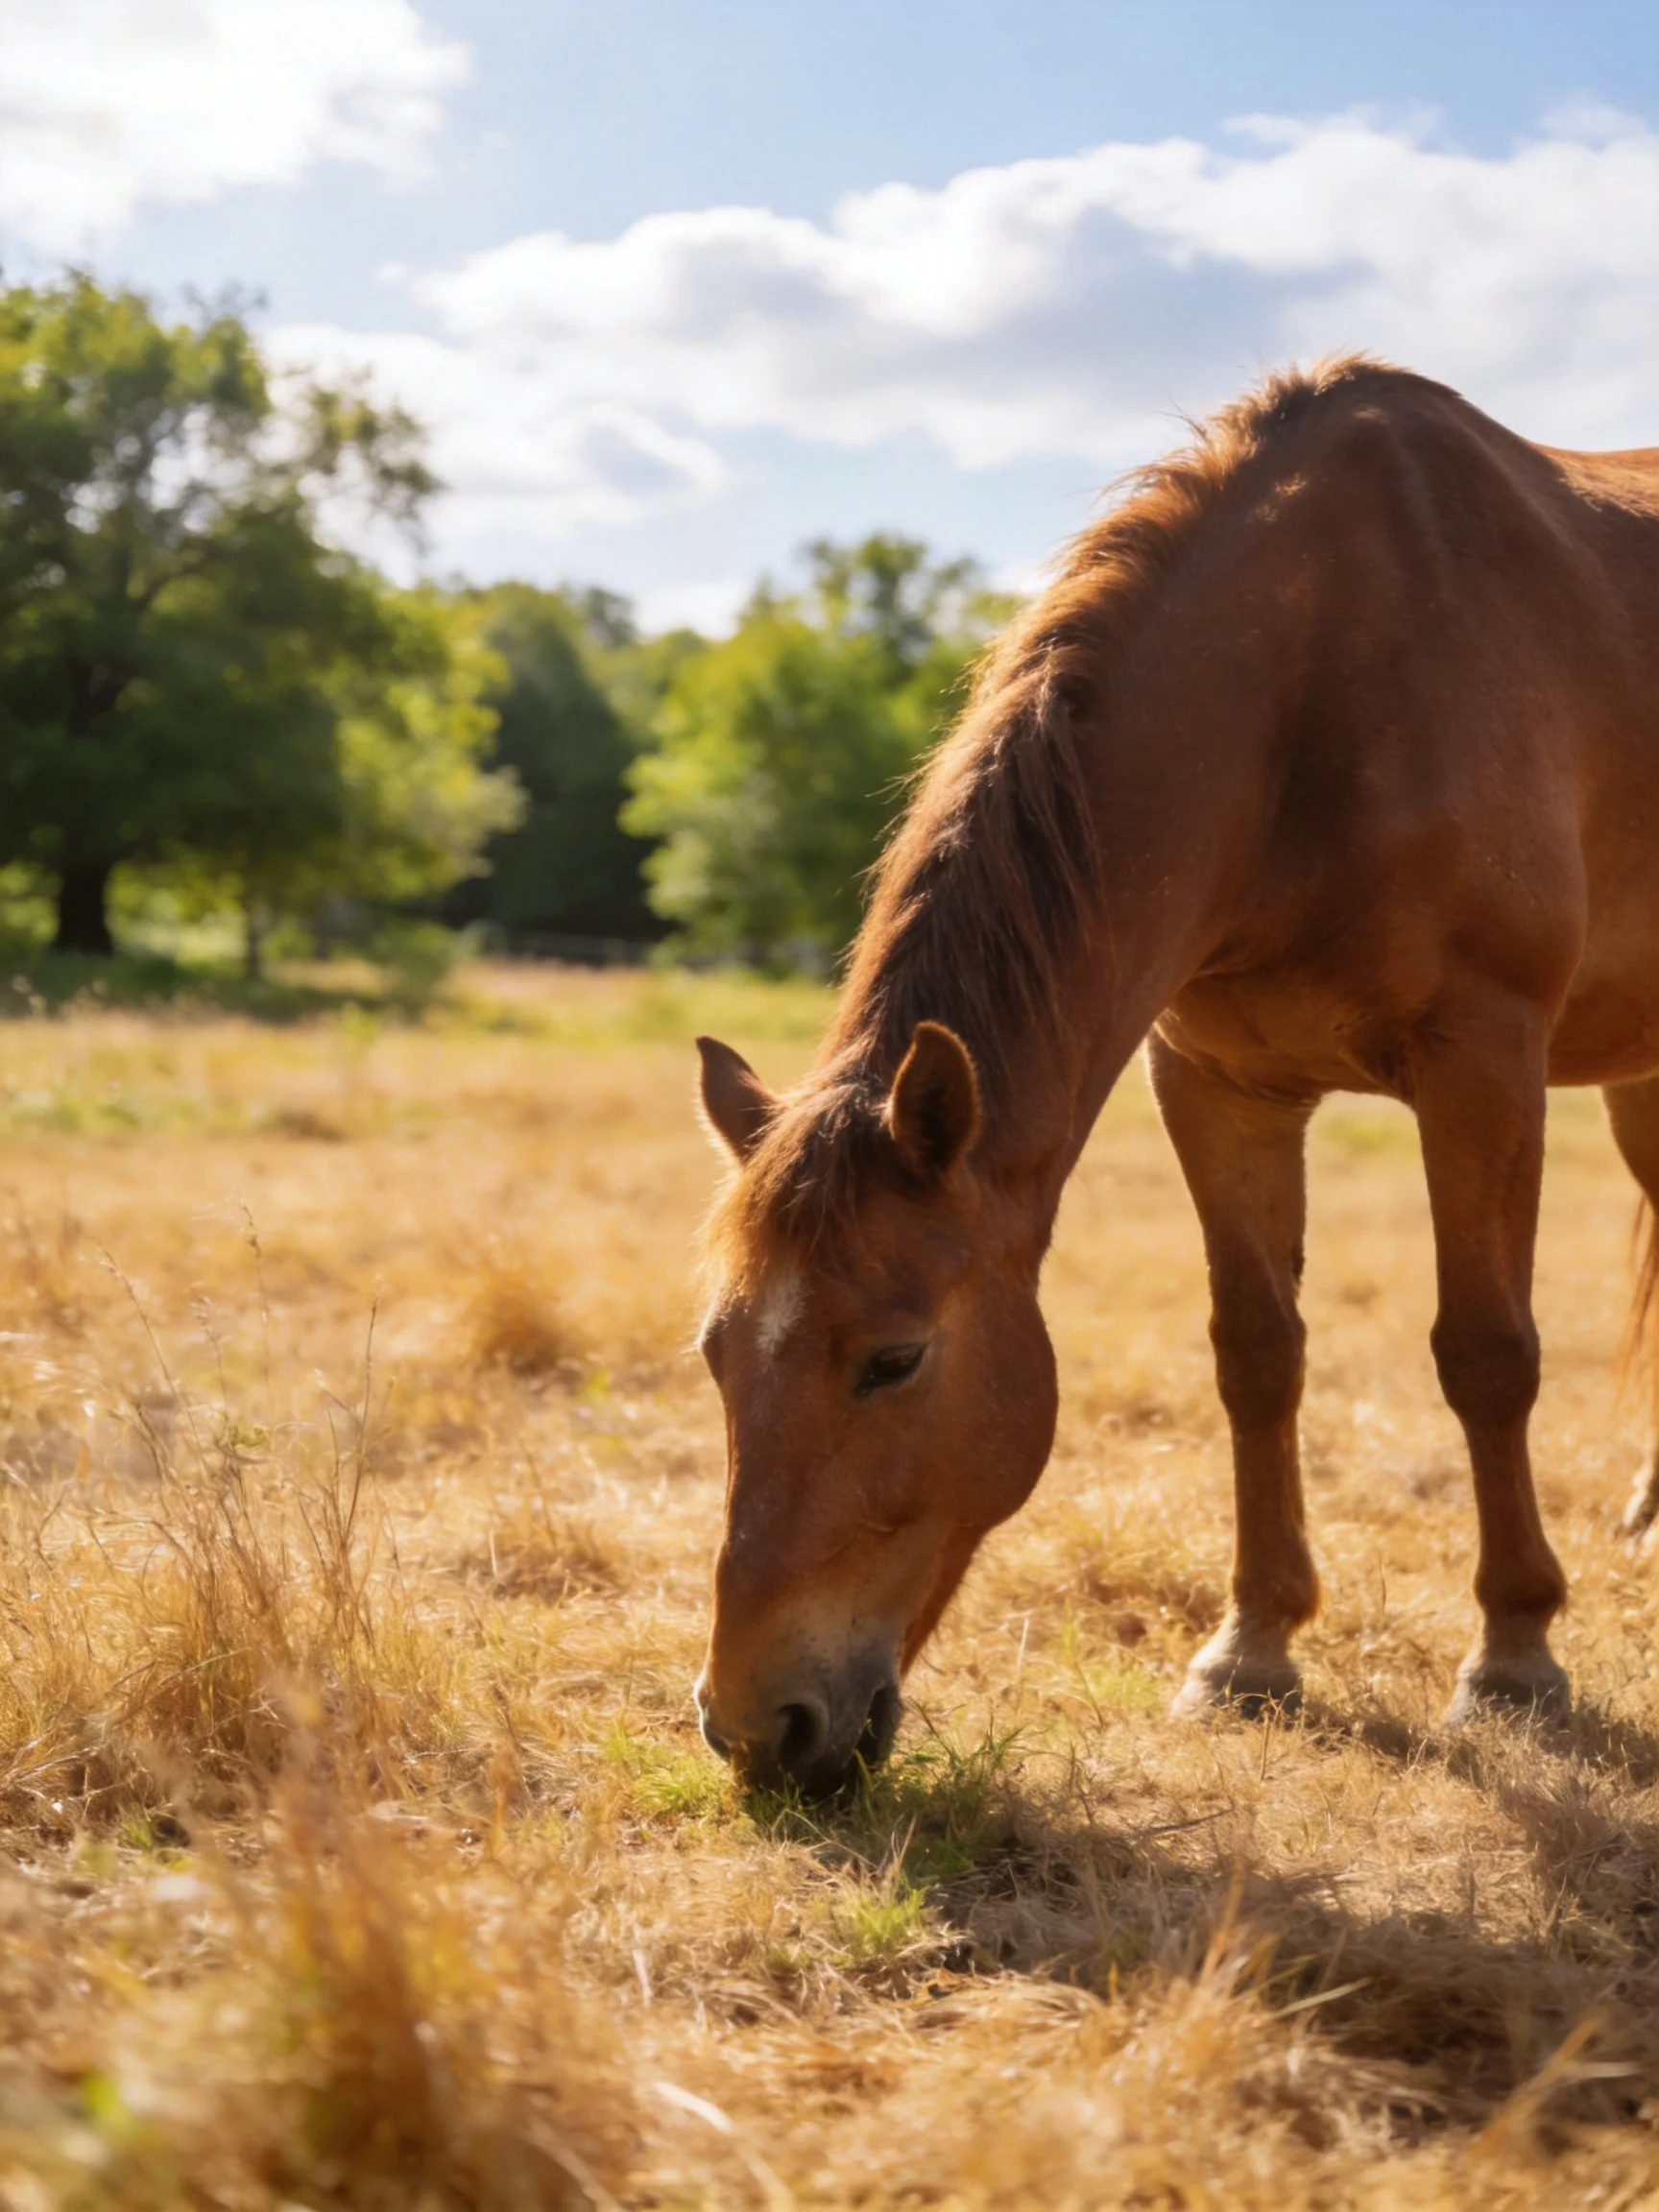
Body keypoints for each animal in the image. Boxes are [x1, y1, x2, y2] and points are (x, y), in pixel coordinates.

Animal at [689, 357, 1659, 1798]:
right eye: (715, 1352)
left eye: (896, 1359)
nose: (759, 1728)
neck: (1314, 693)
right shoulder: (1214, 1084)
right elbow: (1256, 1351)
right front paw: (1252, 1650)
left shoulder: (1485, 1061)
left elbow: (1487, 1353)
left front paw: (1514, 1660)